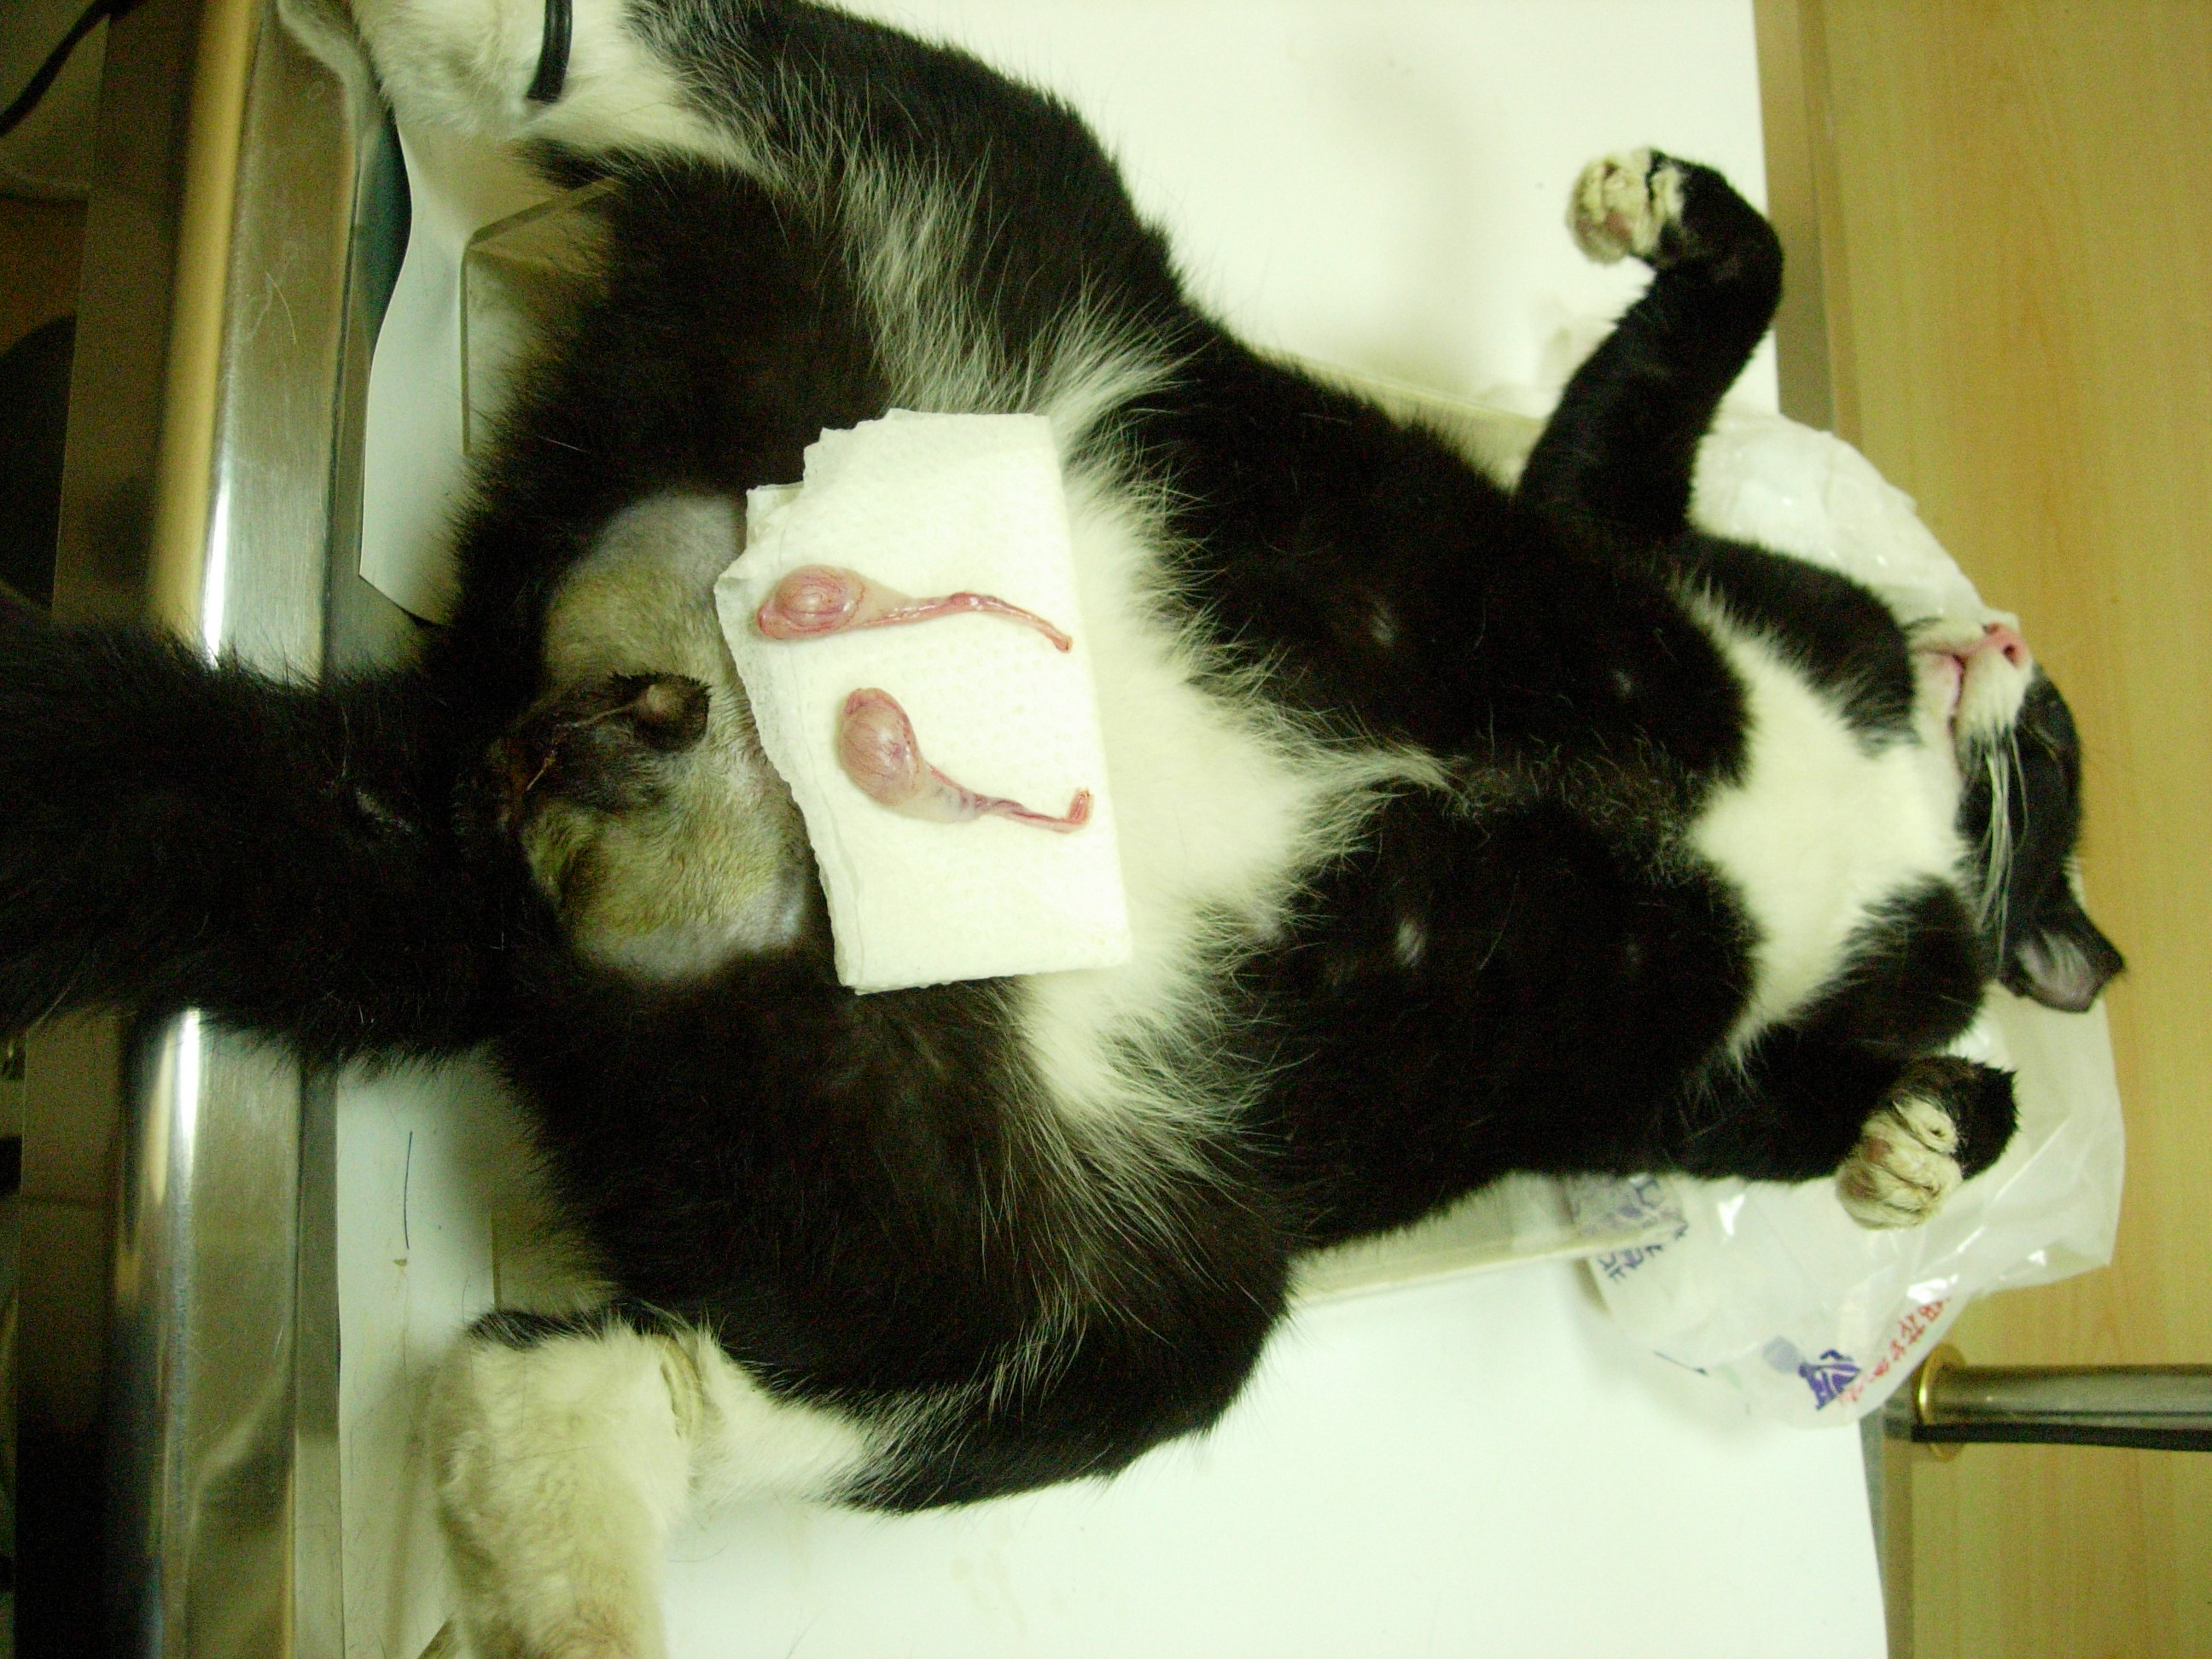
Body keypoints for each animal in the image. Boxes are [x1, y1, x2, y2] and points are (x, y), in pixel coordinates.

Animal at [0, 1, 2120, 1651]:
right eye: (2076, 742)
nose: (2012, 643)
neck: (1897, 797)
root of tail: (541, 764)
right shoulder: (1635, 545)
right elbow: (1650, 394)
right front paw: (1664, 208)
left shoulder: (1690, 1085)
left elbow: (1796, 1113)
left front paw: (1928, 1142)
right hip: (997, 220)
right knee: (726, 84)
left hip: (1104, 1276)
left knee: (702, 1380)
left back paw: (557, 1541)